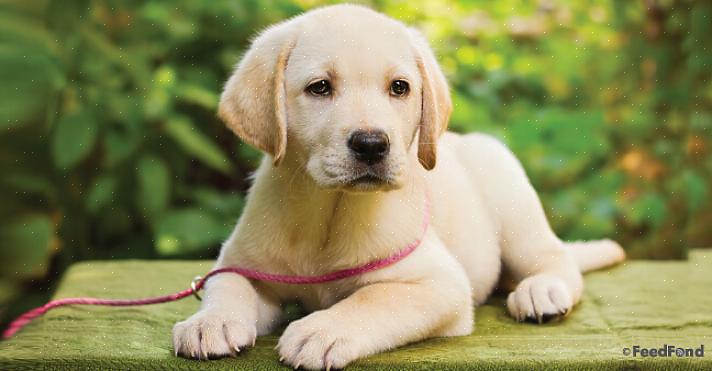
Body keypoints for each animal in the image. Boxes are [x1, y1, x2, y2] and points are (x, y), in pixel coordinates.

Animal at [171, 4, 624, 370]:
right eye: (320, 87)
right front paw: (210, 322)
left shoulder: (440, 285)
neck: (330, 212)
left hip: (513, 205)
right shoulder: (242, 261)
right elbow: (226, 284)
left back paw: (541, 291)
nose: (372, 144)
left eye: (399, 87)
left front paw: (322, 329)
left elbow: (373, 298)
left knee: (554, 257)